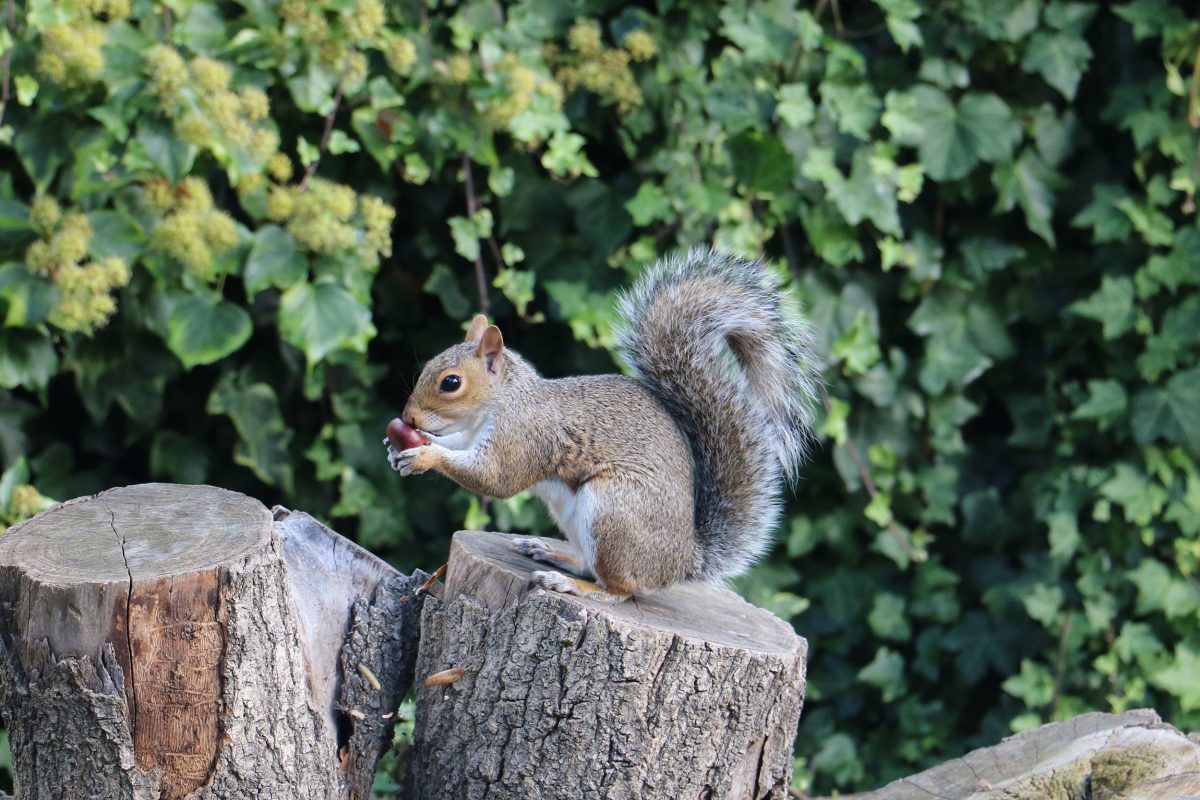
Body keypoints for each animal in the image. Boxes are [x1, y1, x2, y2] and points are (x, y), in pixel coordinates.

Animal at [388, 248, 820, 599]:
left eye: (451, 383)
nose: (408, 418)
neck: (503, 401)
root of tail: (680, 561)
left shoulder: (525, 435)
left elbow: (496, 479)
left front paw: (425, 457)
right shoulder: (473, 434)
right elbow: (458, 447)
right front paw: (402, 446)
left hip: (613, 510)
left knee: (619, 589)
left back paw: (574, 585)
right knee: (590, 566)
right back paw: (553, 555)